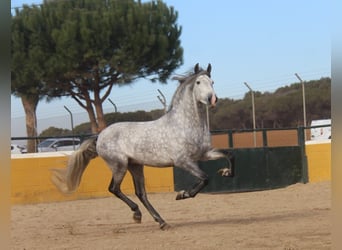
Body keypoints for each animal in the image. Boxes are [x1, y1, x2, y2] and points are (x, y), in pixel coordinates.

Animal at [50, 63, 227, 229]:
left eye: (212, 82)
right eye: (198, 82)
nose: (212, 99)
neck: (184, 124)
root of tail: (100, 136)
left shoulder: (203, 155)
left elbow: (221, 161)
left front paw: (224, 173)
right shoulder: (182, 161)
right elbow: (205, 178)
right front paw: (183, 194)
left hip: (135, 166)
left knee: (140, 193)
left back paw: (161, 221)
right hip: (119, 165)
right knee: (114, 189)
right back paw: (137, 214)